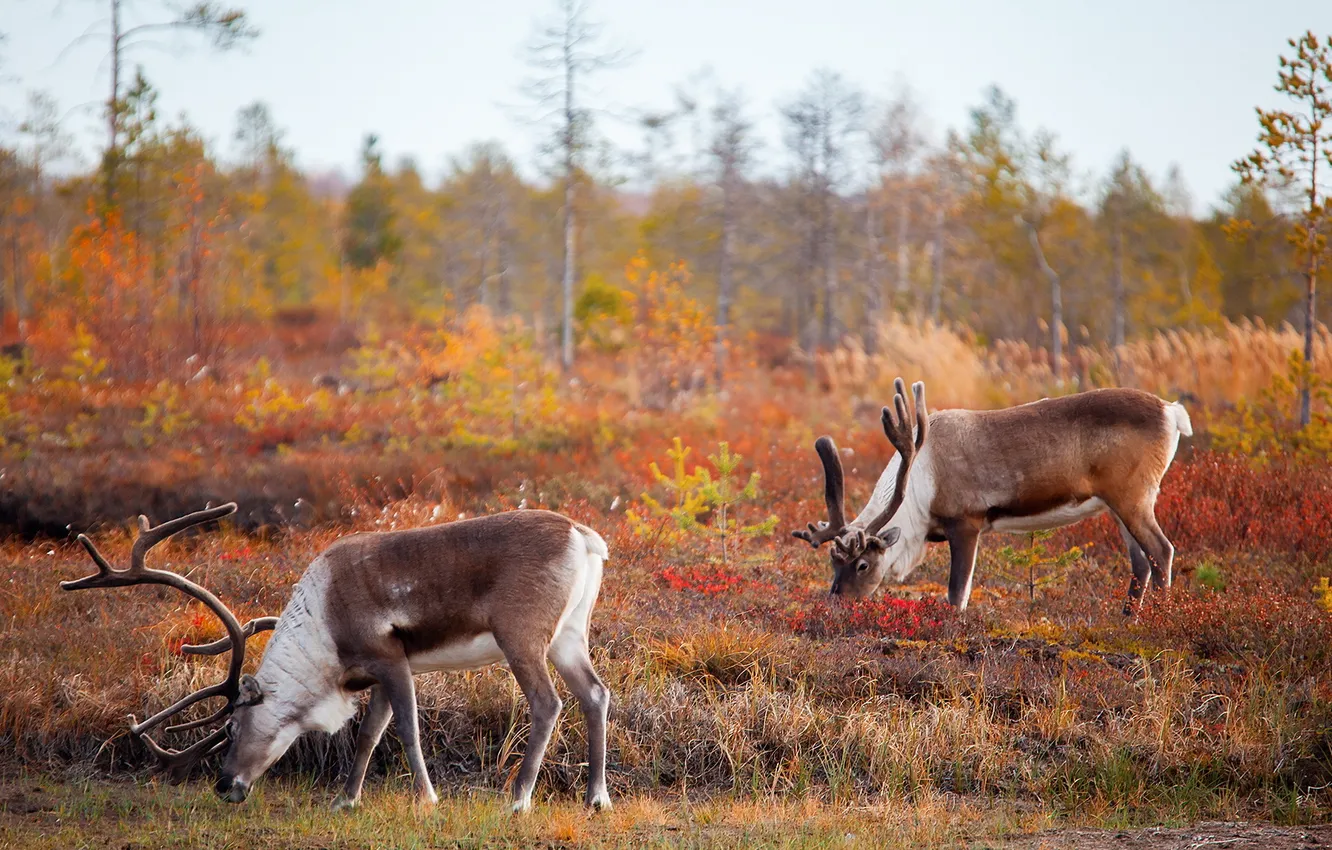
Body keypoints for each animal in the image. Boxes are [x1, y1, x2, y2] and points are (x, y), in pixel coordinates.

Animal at [61, 503, 612, 813]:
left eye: (233, 727)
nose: (224, 785)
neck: (323, 635)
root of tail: (585, 536)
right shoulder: (384, 671)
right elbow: (368, 734)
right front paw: (346, 799)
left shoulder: (389, 655)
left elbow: (406, 730)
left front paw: (427, 799)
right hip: (568, 636)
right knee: (595, 693)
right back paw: (596, 798)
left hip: (521, 635)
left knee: (547, 704)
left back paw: (517, 799)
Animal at [794, 378, 1193, 614]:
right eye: (833, 563)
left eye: (863, 564)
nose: (835, 604)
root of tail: (1171, 411)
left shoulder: (966, 522)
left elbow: (957, 594)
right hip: (1117, 503)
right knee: (1141, 562)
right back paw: (1128, 620)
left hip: (1134, 495)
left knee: (1161, 551)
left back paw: (1160, 620)